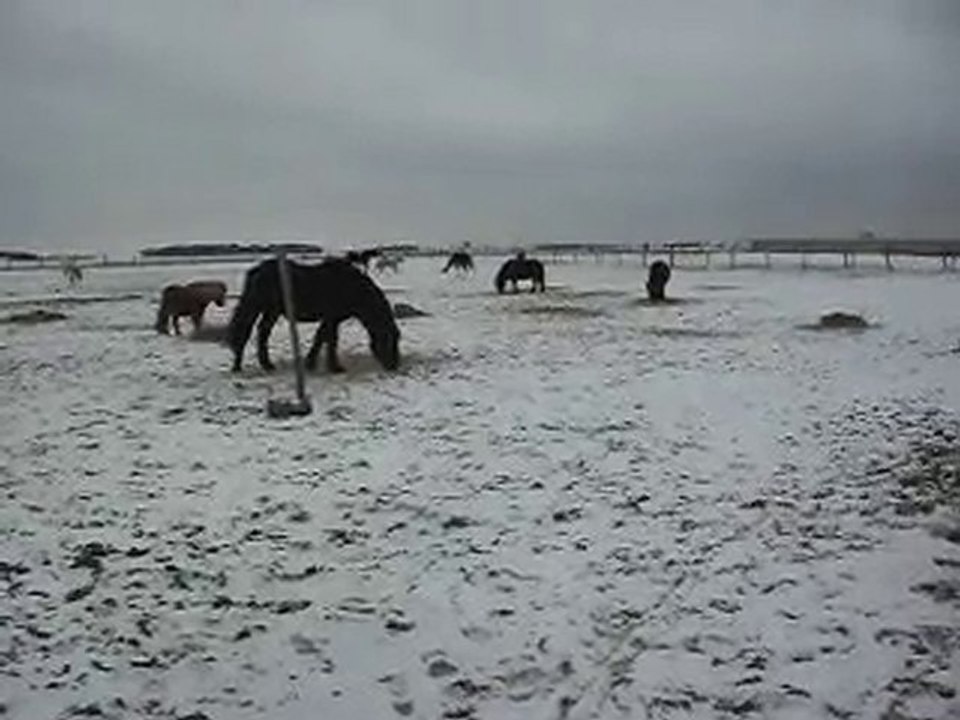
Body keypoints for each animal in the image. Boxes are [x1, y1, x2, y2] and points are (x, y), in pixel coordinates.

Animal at [228, 257, 400, 374]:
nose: (394, 365)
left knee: (262, 331)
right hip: (260, 308)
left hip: (271, 311)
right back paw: (240, 365)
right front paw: (335, 367)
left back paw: (265, 365)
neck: (352, 287)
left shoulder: (330, 319)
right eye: (388, 339)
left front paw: (310, 364)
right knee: (247, 331)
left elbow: (320, 338)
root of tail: (257, 270)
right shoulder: (332, 319)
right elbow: (331, 340)